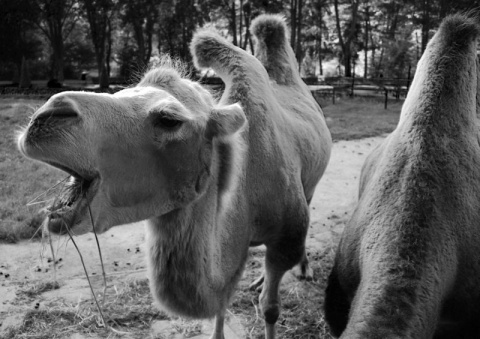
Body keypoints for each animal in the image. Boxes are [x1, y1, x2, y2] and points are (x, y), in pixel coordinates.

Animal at [16, 14, 332, 338]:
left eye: (169, 119)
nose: (46, 117)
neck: (247, 192)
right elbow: (222, 304)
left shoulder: (285, 242)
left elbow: (270, 309)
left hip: (310, 187)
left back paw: (303, 269)